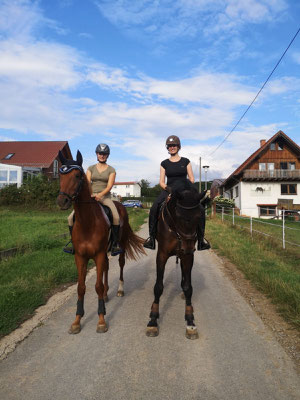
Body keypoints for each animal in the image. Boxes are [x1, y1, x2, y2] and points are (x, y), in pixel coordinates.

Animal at [57, 151, 145, 334]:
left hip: (120, 246)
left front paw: (101, 320)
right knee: (106, 267)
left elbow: (96, 286)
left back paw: (119, 290)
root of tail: (120, 204)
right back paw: (106, 294)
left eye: (77, 176)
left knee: (120, 264)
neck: (87, 222)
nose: (62, 201)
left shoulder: (97, 255)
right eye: (61, 175)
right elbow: (81, 287)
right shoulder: (80, 257)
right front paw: (77, 321)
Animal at [146, 181, 206, 340]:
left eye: (200, 216)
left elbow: (188, 287)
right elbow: (158, 287)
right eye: (178, 216)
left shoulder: (188, 257)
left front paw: (190, 321)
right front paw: (153, 320)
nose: (188, 247)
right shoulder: (161, 255)